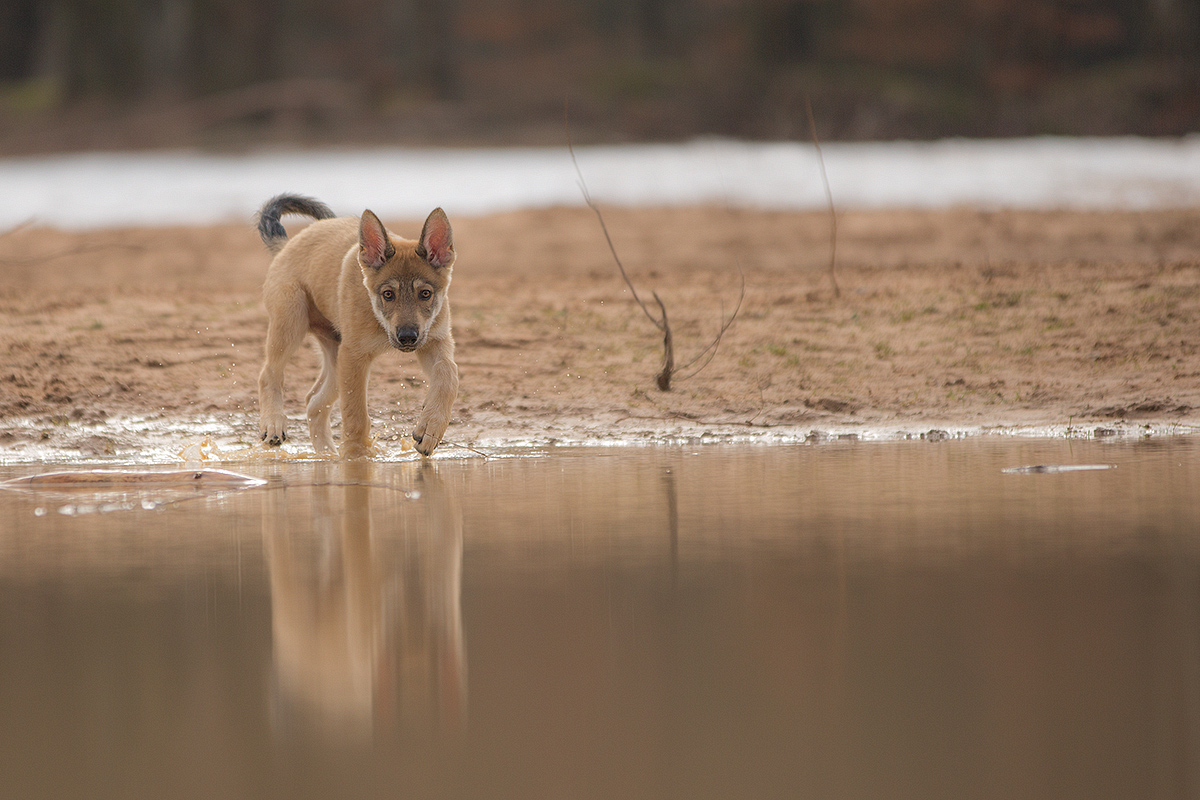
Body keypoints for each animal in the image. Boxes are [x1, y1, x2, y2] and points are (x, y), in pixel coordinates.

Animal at [255, 194, 456, 455]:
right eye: (388, 294)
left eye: (425, 294)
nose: (407, 337)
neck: (378, 320)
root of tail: (285, 245)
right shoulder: (355, 357)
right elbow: (356, 416)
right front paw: (356, 457)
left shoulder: (434, 342)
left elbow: (449, 375)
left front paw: (431, 427)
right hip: (291, 322)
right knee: (269, 374)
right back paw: (273, 424)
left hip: (335, 357)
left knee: (313, 402)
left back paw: (326, 454)